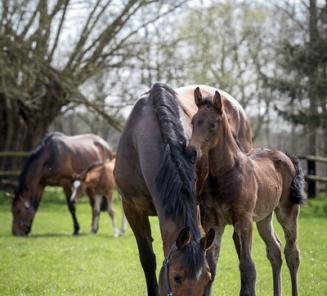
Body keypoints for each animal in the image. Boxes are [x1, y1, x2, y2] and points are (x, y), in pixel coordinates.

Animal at [188, 88, 306, 296]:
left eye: (212, 124)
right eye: (193, 121)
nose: (191, 151)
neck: (224, 174)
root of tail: (285, 156)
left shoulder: (243, 220)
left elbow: (248, 266)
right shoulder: (213, 222)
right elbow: (211, 266)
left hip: (287, 213)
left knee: (292, 253)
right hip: (264, 217)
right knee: (275, 251)